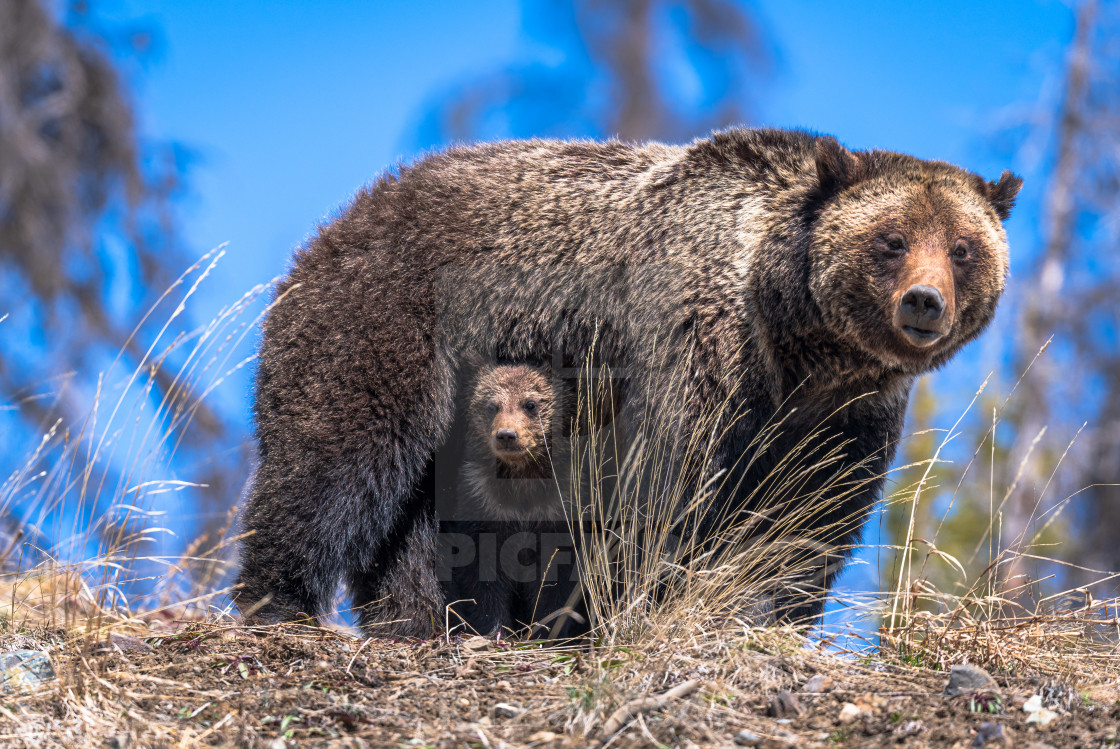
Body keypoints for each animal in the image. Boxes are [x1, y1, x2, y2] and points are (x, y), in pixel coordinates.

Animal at [436, 362, 582, 635]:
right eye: (492, 405)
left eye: (530, 403)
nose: (506, 435)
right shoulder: (482, 504)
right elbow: (481, 574)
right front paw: (494, 627)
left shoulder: (557, 509)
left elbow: (556, 577)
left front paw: (548, 627)